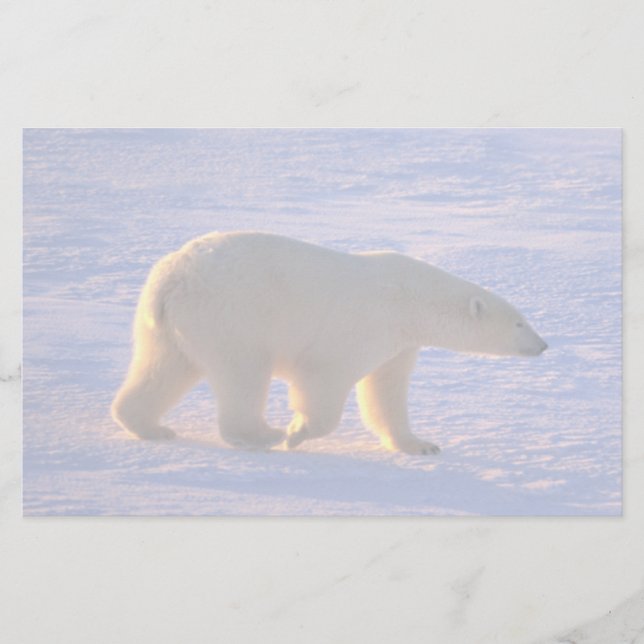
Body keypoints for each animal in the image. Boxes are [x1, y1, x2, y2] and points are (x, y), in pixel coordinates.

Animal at [111, 231, 547, 455]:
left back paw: (151, 427)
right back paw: (262, 434)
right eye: (520, 322)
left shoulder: (398, 341)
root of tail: (171, 279)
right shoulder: (363, 323)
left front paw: (420, 444)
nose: (543, 345)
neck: (411, 298)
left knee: (163, 367)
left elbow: (386, 390)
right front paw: (297, 432)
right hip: (231, 315)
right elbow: (324, 378)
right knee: (243, 373)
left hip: (169, 323)